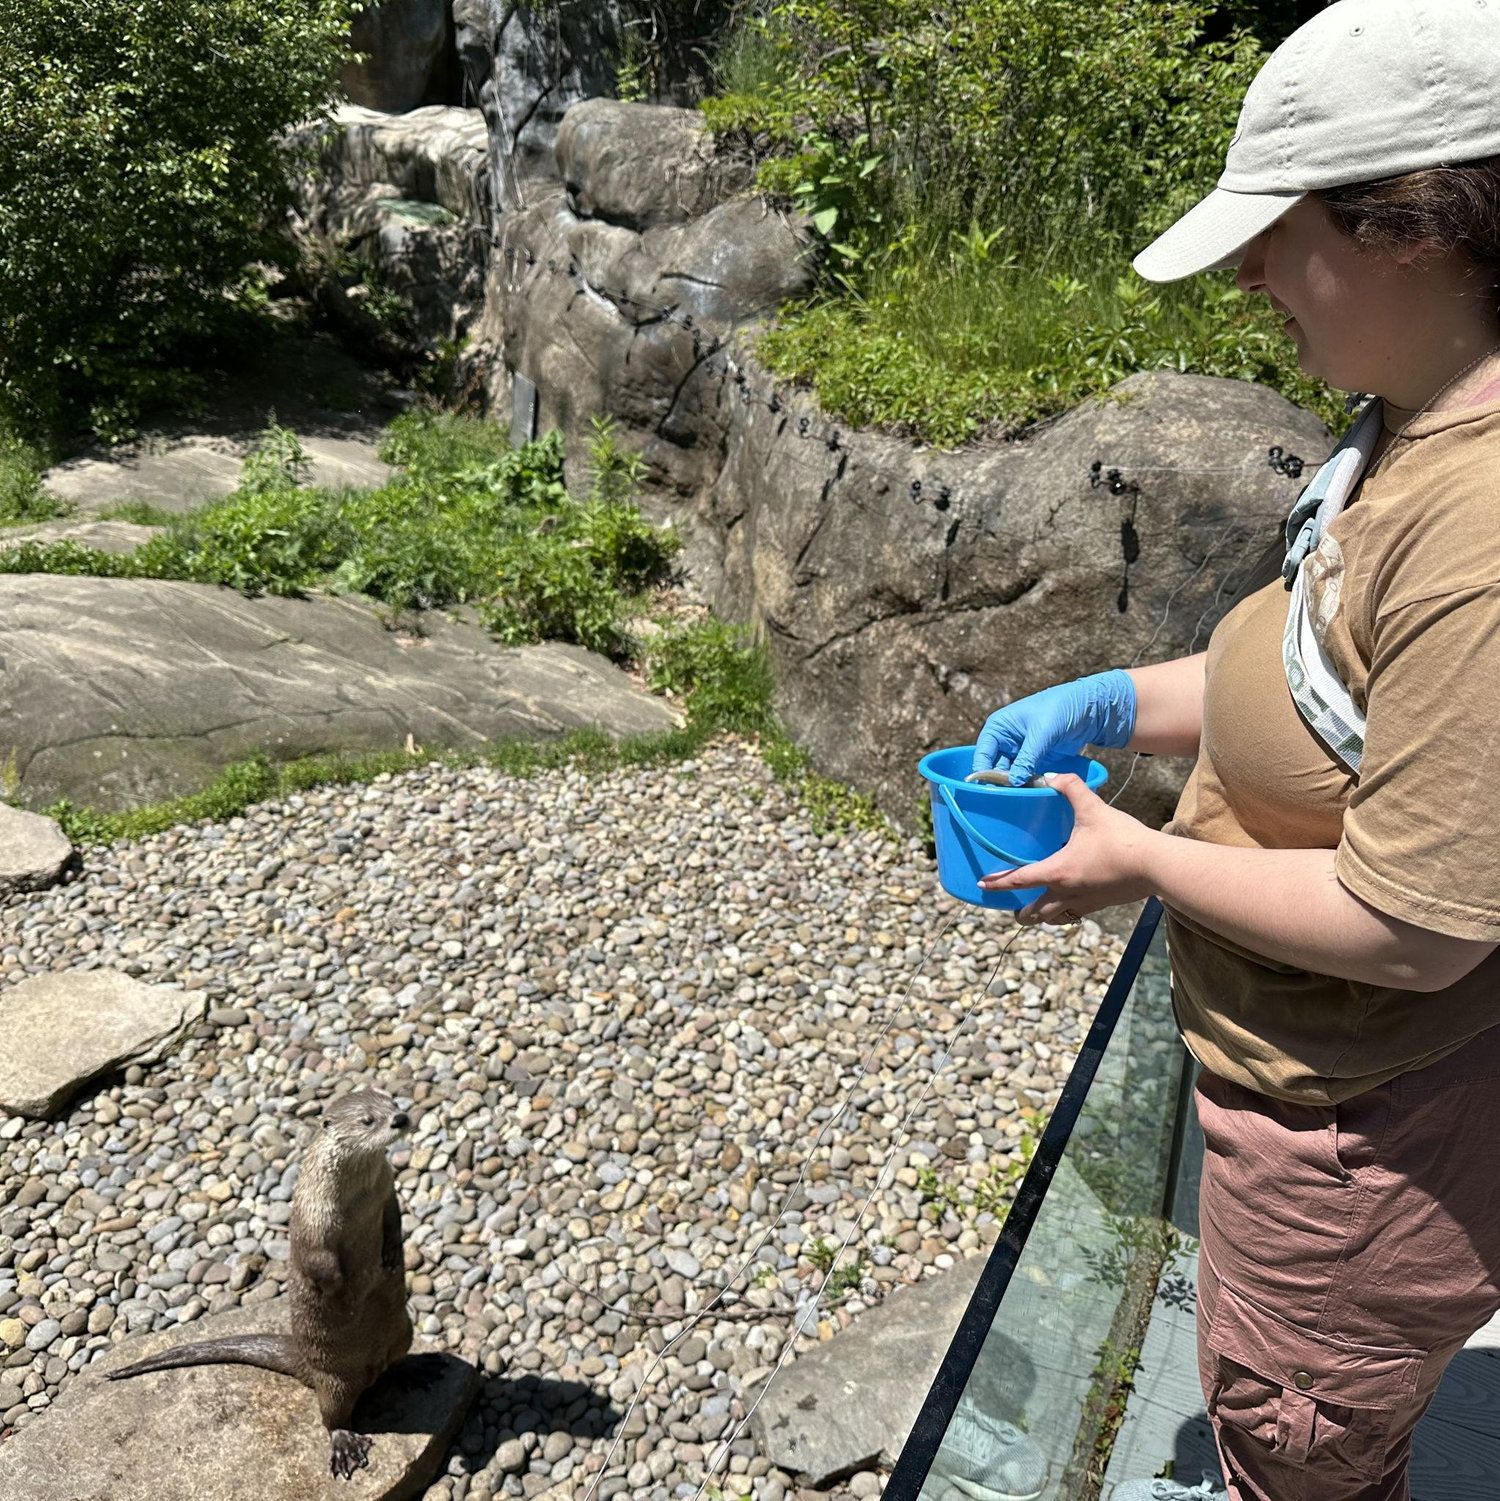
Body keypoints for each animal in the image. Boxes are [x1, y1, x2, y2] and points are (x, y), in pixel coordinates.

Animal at [107, 1089, 414, 1480]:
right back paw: (345, 1443)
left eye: (393, 1104)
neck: (358, 1199)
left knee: (395, 1364)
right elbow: (319, 1263)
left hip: (403, 1332)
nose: (400, 1119)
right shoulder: (312, 1220)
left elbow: (394, 1219)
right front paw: (343, 1294)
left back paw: (418, 1373)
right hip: (334, 1379)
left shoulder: (387, 1190)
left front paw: (391, 1253)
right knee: (332, 1416)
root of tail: (305, 1362)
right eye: (368, 1120)